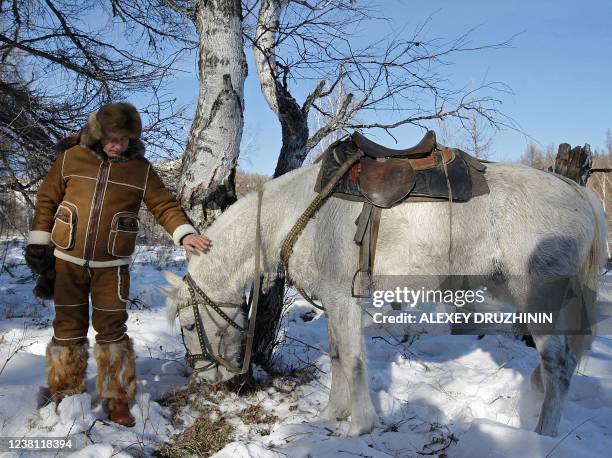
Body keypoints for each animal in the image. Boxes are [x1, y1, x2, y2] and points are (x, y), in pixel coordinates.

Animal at [163, 159, 608, 438]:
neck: (297, 212)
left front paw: (359, 426)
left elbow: (353, 361)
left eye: (186, 324)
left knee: (558, 366)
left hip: (541, 302)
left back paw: (542, 437)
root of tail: (578, 193)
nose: (209, 379)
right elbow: (338, 357)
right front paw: (330, 415)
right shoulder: (333, 302)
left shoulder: (343, 300)